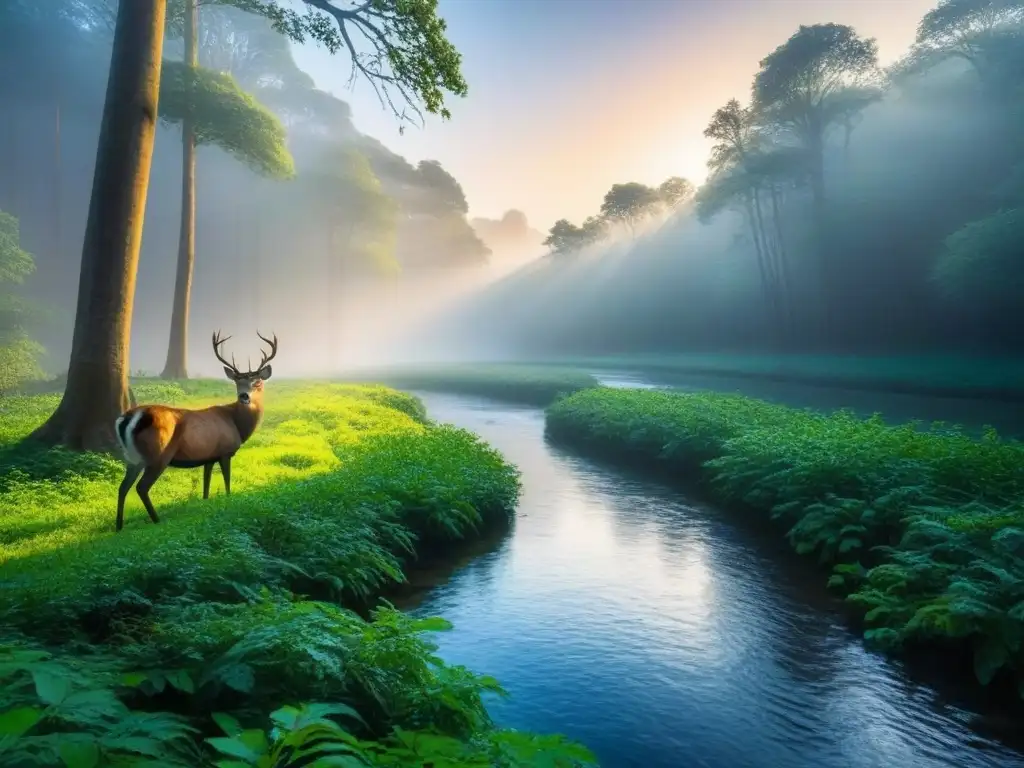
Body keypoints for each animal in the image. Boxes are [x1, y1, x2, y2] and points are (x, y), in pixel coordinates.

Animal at [113, 331, 276, 536]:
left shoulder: (209, 457)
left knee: (122, 487)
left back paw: (119, 527)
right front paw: (229, 500)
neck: (236, 424)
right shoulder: (225, 451)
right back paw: (157, 521)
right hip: (158, 454)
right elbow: (227, 481)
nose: (244, 396)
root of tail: (127, 418)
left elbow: (205, 487)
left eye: (257, 382)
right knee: (141, 487)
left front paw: (205, 503)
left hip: (132, 459)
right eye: (237, 382)